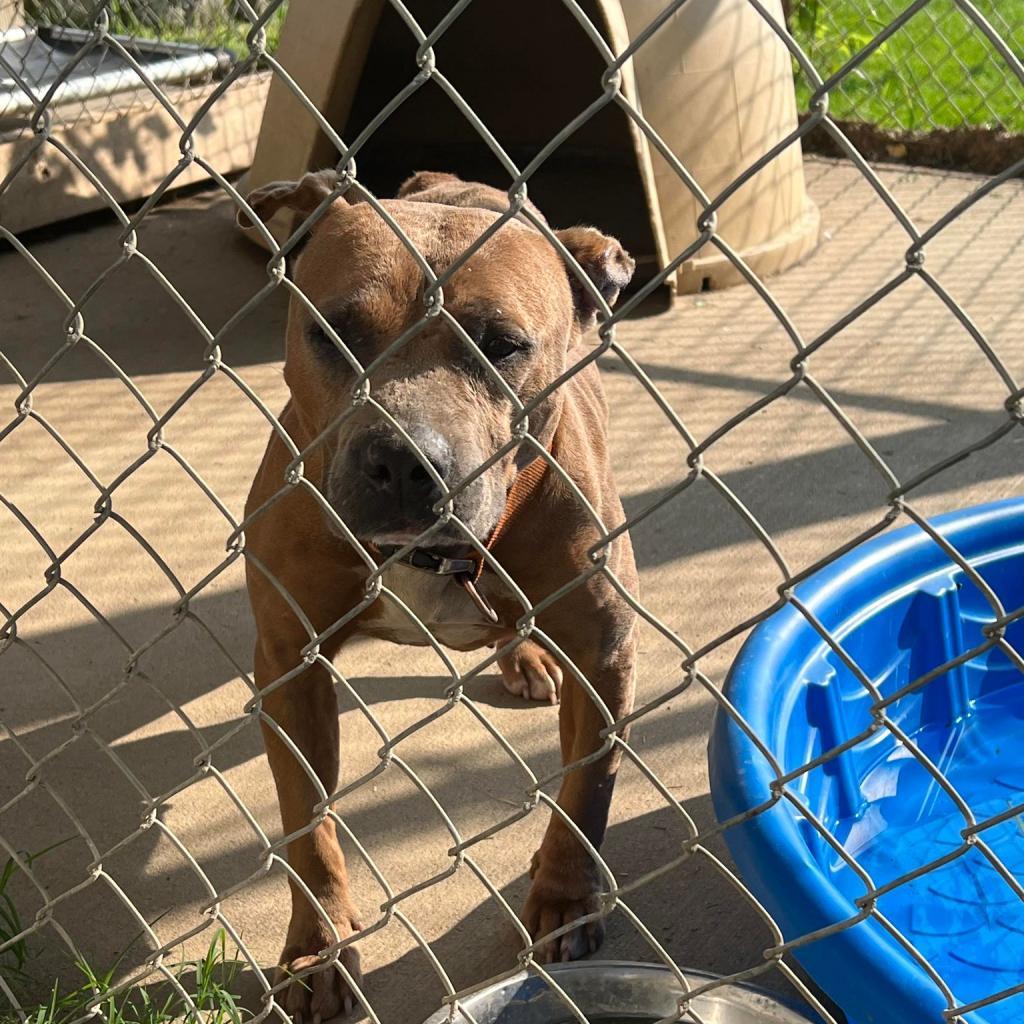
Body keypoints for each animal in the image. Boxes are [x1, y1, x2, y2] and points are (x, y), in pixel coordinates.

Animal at [242, 167, 634, 1015]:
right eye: (334, 332)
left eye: (503, 345)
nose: (402, 461)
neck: (428, 559)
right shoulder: (291, 663)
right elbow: (307, 825)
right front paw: (318, 950)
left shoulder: (605, 653)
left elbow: (588, 787)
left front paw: (566, 899)